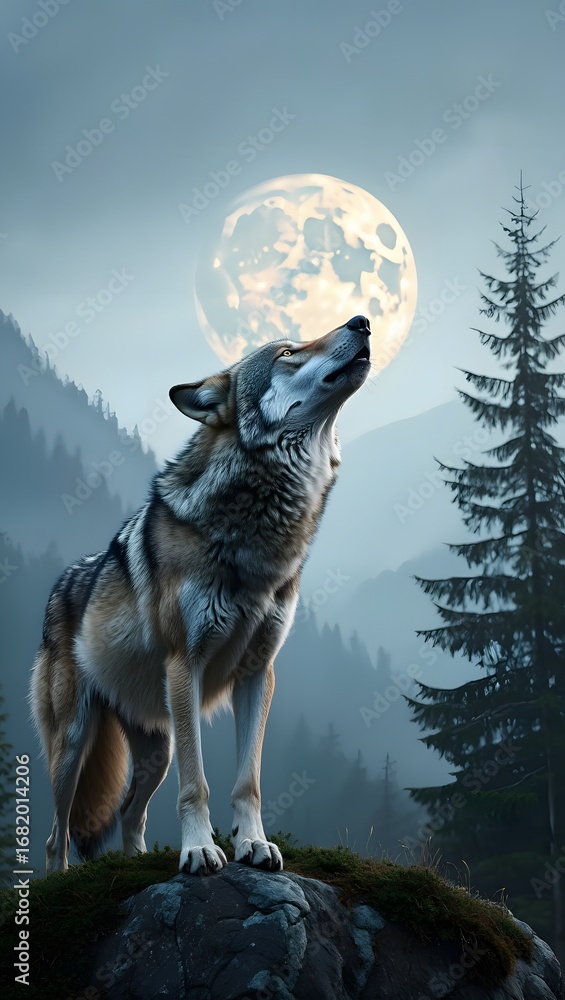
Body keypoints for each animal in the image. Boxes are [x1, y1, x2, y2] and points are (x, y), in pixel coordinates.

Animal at [30, 315, 371, 875]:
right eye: (287, 353)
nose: (362, 321)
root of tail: (60, 585)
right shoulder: (183, 665)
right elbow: (198, 784)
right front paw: (199, 850)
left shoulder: (258, 673)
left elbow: (248, 781)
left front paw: (253, 844)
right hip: (74, 744)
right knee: (55, 837)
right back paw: (59, 881)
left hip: (157, 749)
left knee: (131, 813)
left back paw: (138, 859)